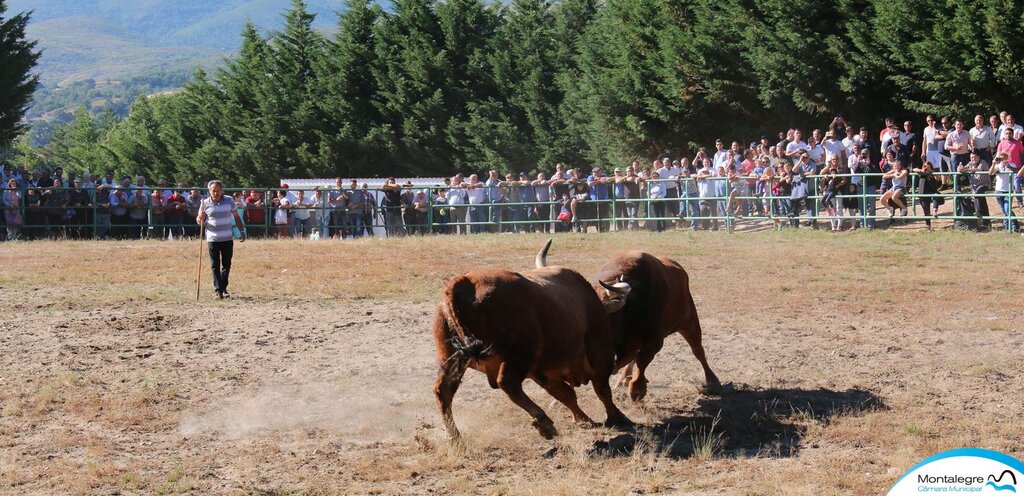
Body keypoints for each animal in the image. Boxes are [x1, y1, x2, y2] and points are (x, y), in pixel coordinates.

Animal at [432, 239, 630, 442]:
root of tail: (462, 282)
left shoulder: (542, 372)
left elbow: (566, 394)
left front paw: (582, 418)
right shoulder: (600, 355)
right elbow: (602, 389)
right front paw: (617, 416)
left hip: (451, 356)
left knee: (444, 391)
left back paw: (455, 438)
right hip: (517, 357)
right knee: (507, 383)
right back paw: (543, 422)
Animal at [593, 252, 720, 403]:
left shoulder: (654, 341)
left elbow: (642, 360)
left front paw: (637, 390)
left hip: (690, 321)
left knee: (698, 350)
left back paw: (712, 381)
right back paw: (624, 378)